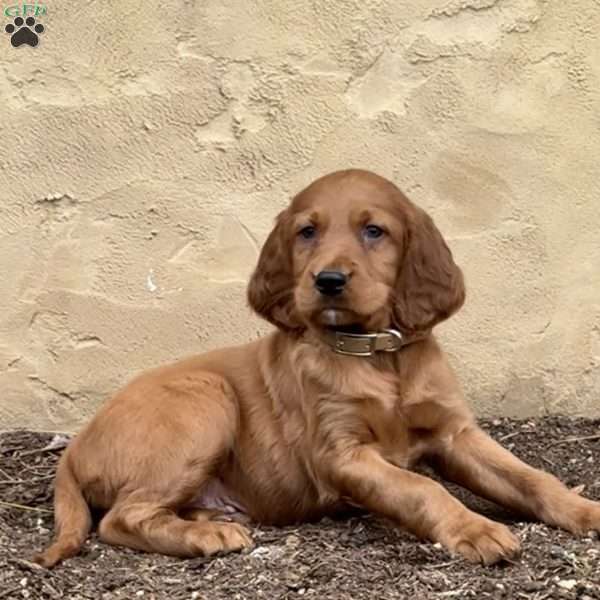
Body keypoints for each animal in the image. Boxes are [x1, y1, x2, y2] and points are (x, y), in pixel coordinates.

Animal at [35, 170, 600, 568]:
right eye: (307, 232)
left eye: (374, 231)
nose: (327, 280)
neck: (376, 354)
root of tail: (75, 448)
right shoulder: (340, 455)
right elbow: (422, 488)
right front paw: (475, 529)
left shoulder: (455, 434)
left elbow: (531, 478)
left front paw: (586, 510)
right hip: (205, 399)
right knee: (119, 520)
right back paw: (206, 533)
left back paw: (209, 515)